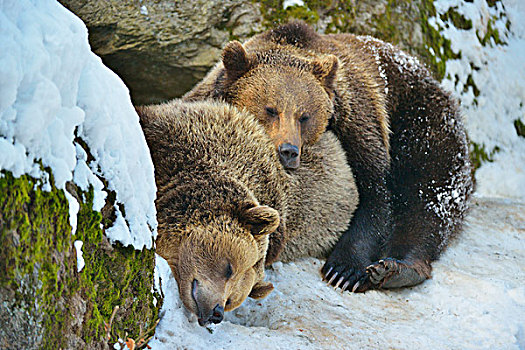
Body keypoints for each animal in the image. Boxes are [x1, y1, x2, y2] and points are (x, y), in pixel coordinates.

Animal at [184, 21, 474, 292]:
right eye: (270, 109)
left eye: (304, 116)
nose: (288, 151)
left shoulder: (359, 122)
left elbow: (375, 195)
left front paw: (344, 270)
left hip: (421, 122)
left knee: (430, 193)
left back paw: (395, 268)